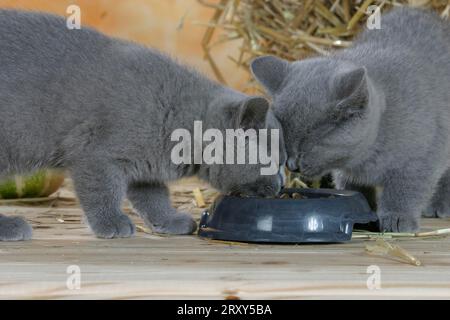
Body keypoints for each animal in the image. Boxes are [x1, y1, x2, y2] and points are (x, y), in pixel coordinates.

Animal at [0, 9, 284, 240]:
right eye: (273, 161)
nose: (281, 185)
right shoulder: (95, 156)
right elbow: (102, 190)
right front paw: (110, 222)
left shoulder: (145, 169)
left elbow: (152, 196)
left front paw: (168, 220)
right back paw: (10, 227)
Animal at [251, 8, 448, 232]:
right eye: (283, 142)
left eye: (309, 146)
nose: (292, 165)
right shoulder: (345, 170)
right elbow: (352, 185)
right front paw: (365, 212)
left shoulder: (421, 158)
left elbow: (405, 189)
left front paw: (397, 217)